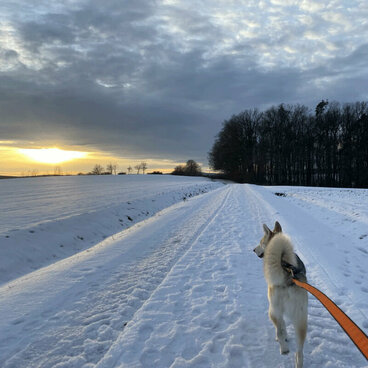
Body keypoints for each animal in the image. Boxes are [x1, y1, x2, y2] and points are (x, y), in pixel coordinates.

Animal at [253, 221, 308, 368]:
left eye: (261, 243)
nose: (253, 250)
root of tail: (289, 278)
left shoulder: (277, 310)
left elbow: (282, 326)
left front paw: (283, 338)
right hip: (301, 319)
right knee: (300, 350)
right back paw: (298, 362)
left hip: (272, 310)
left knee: (278, 329)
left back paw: (284, 348)